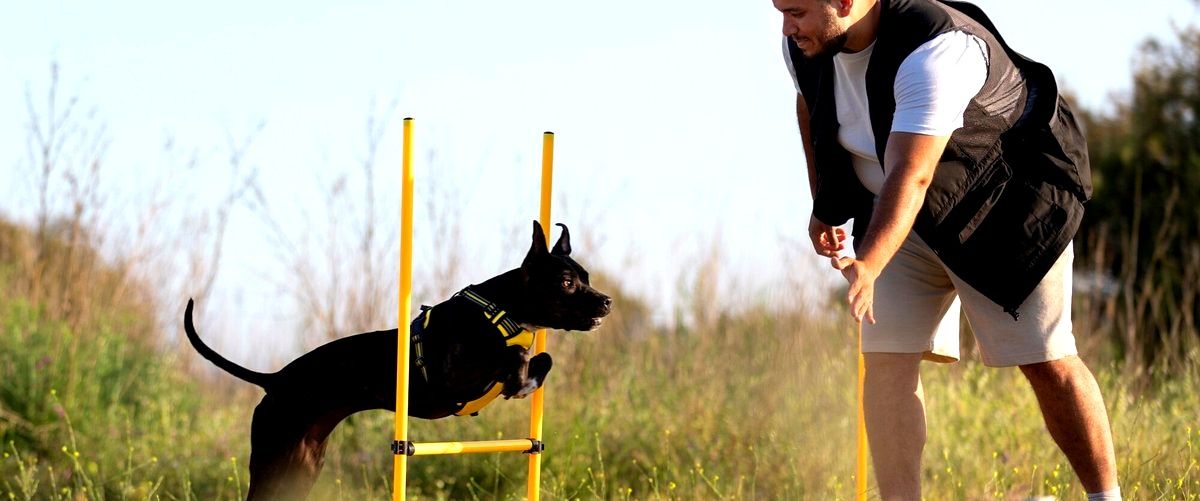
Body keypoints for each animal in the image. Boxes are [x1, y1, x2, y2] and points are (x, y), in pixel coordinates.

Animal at [182, 224, 614, 501]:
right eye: (566, 282)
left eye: (587, 277)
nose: (607, 301)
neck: (499, 312)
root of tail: (275, 379)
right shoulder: (451, 384)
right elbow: (517, 355)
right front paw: (517, 373)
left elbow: (544, 357)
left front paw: (523, 378)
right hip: (274, 460)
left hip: (300, 468)